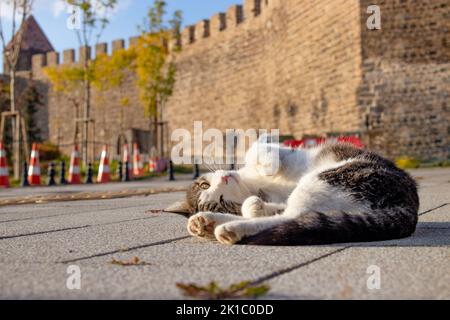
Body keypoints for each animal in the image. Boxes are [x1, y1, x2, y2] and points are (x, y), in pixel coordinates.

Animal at [165, 140, 418, 245]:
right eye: (221, 199)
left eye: (206, 186)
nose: (226, 178)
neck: (253, 185)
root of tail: (411, 204)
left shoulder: (286, 152)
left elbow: (256, 149)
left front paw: (267, 166)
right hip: (324, 181)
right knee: (293, 216)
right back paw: (216, 225)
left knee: (293, 216)